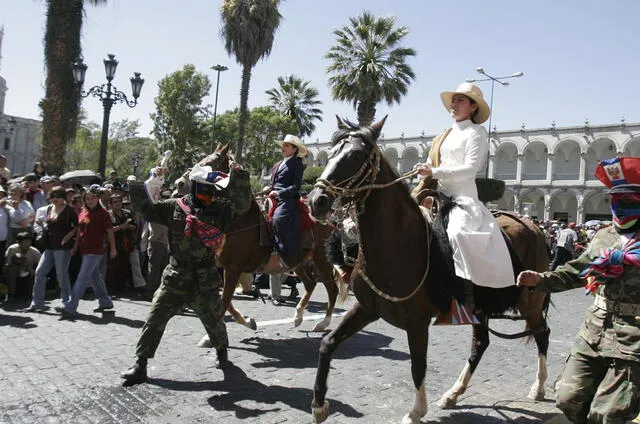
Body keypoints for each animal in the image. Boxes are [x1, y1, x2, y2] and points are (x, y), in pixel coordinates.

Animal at [178, 145, 348, 332]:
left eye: (211, 161)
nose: (179, 182)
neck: (238, 218)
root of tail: (331, 224)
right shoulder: (224, 269)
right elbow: (227, 303)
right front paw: (248, 321)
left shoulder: (233, 268)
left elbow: (224, 302)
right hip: (298, 262)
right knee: (310, 284)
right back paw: (298, 317)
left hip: (322, 261)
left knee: (332, 289)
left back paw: (323, 322)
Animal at [304, 117, 552, 424]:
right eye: (330, 153)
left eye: (357, 155)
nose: (316, 200)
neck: (400, 244)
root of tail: (533, 226)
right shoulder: (367, 308)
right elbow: (327, 344)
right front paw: (319, 404)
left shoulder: (417, 322)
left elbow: (418, 365)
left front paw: (416, 411)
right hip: (480, 308)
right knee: (480, 344)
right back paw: (454, 393)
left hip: (531, 301)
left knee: (542, 334)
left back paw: (538, 387)